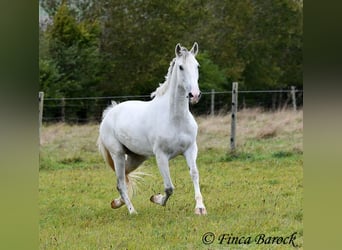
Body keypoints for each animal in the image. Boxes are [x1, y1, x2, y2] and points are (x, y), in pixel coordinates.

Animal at [97, 42, 207, 215]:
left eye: (197, 66)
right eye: (181, 67)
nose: (194, 95)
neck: (175, 119)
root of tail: (110, 113)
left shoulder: (190, 149)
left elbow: (194, 174)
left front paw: (200, 208)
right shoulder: (161, 156)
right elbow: (169, 188)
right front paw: (156, 199)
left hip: (137, 157)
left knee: (124, 178)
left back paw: (116, 203)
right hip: (118, 154)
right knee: (121, 183)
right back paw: (132, 211)